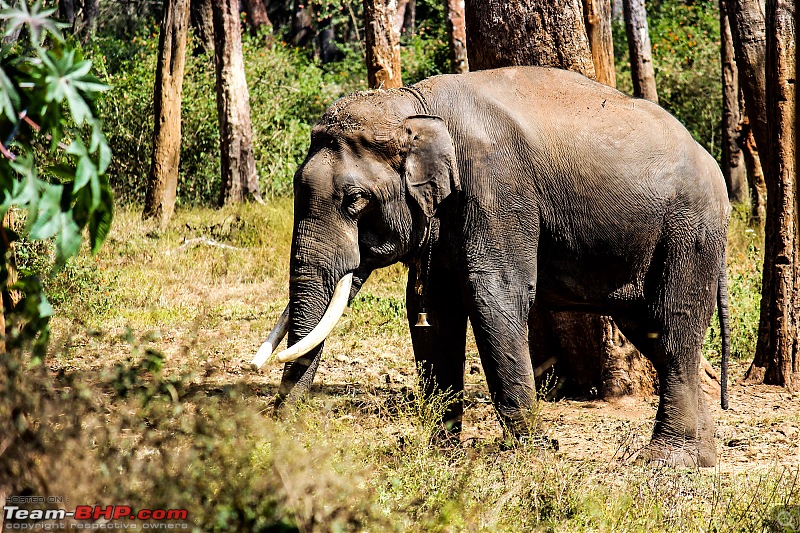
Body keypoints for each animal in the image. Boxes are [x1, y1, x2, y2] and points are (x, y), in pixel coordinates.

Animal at [256, 65, 732, 466]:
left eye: (356, 201)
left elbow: (494, 296)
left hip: (690, 231)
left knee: (673, 329)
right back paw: (703, 454)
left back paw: (668, 461)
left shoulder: (497, 190)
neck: (413, 106)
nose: (282, 432)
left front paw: (531, 456)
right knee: (650, 332)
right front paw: (442, 454)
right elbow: (434, 313)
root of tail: (710, 161)